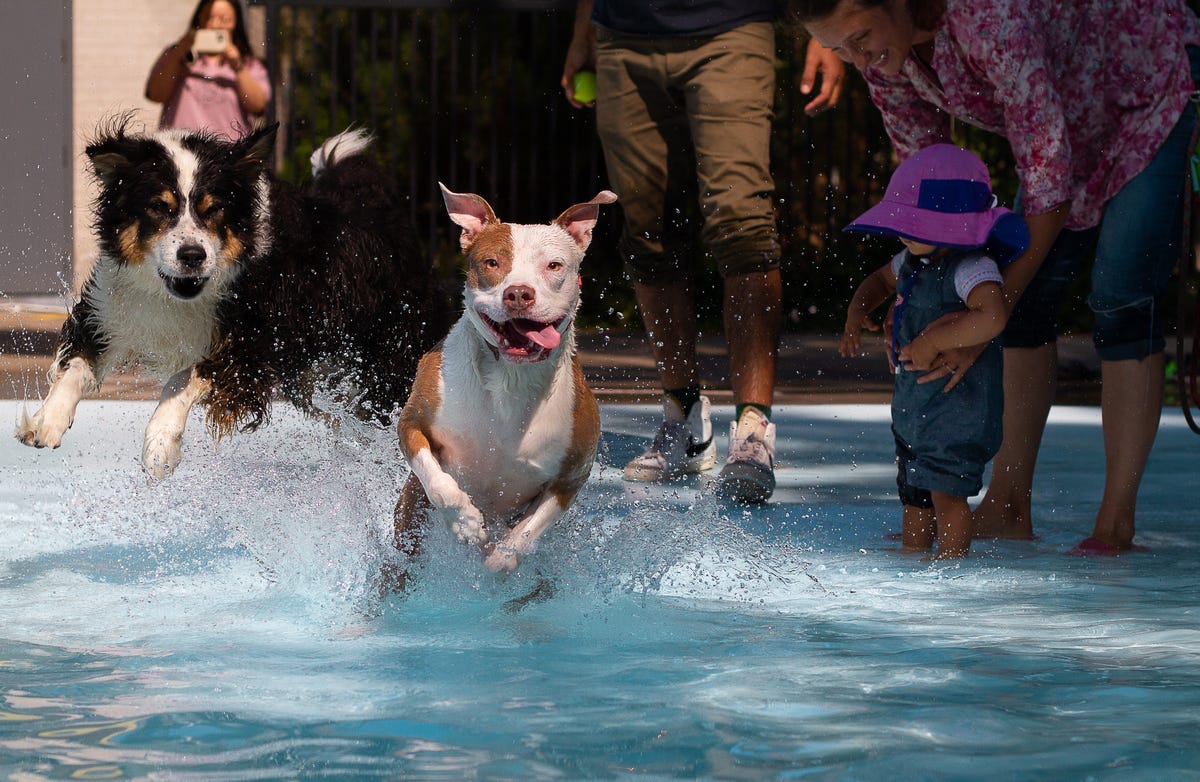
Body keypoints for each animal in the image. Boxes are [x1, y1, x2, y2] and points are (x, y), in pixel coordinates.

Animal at [17, 116, 451, 477]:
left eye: (214, 209)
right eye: (159, 207)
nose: (192, 255)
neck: (179, 296)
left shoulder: (249, 348)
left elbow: (186, 376)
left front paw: (160, 444)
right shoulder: (111, 311)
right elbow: (75, 367)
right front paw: (46, 420)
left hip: (384, 366)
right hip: (319, 380)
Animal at [396, 183, 619, 573]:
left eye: (554, 265)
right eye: (492, 263)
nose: (518, 293)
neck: (510, 376)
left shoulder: (572, 477)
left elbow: (530, 529)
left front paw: (502, 555)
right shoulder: (413, 423)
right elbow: (437, 481)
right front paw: (465, 522)